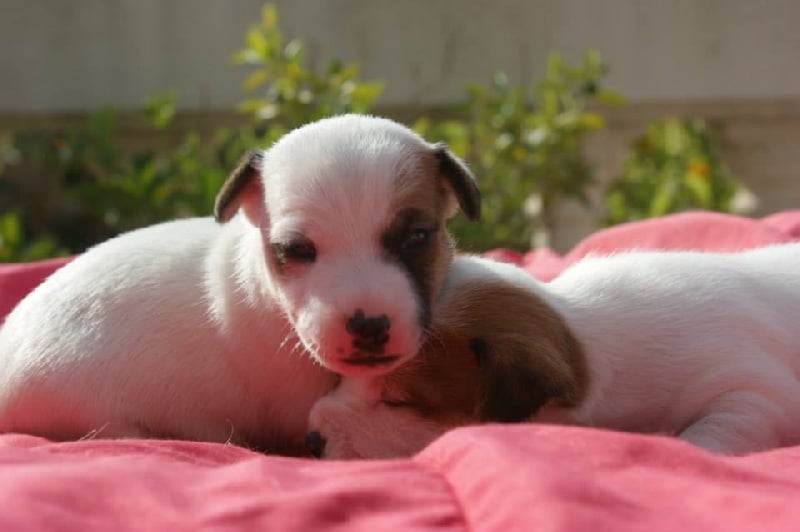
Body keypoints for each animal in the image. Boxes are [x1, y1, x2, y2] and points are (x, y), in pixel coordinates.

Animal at [308, 245, 800, 459]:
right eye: (340, 374)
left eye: (398, 402)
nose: (310, 441)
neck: (579, 336)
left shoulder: (749, 386)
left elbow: (725, 424)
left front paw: (685, 447)